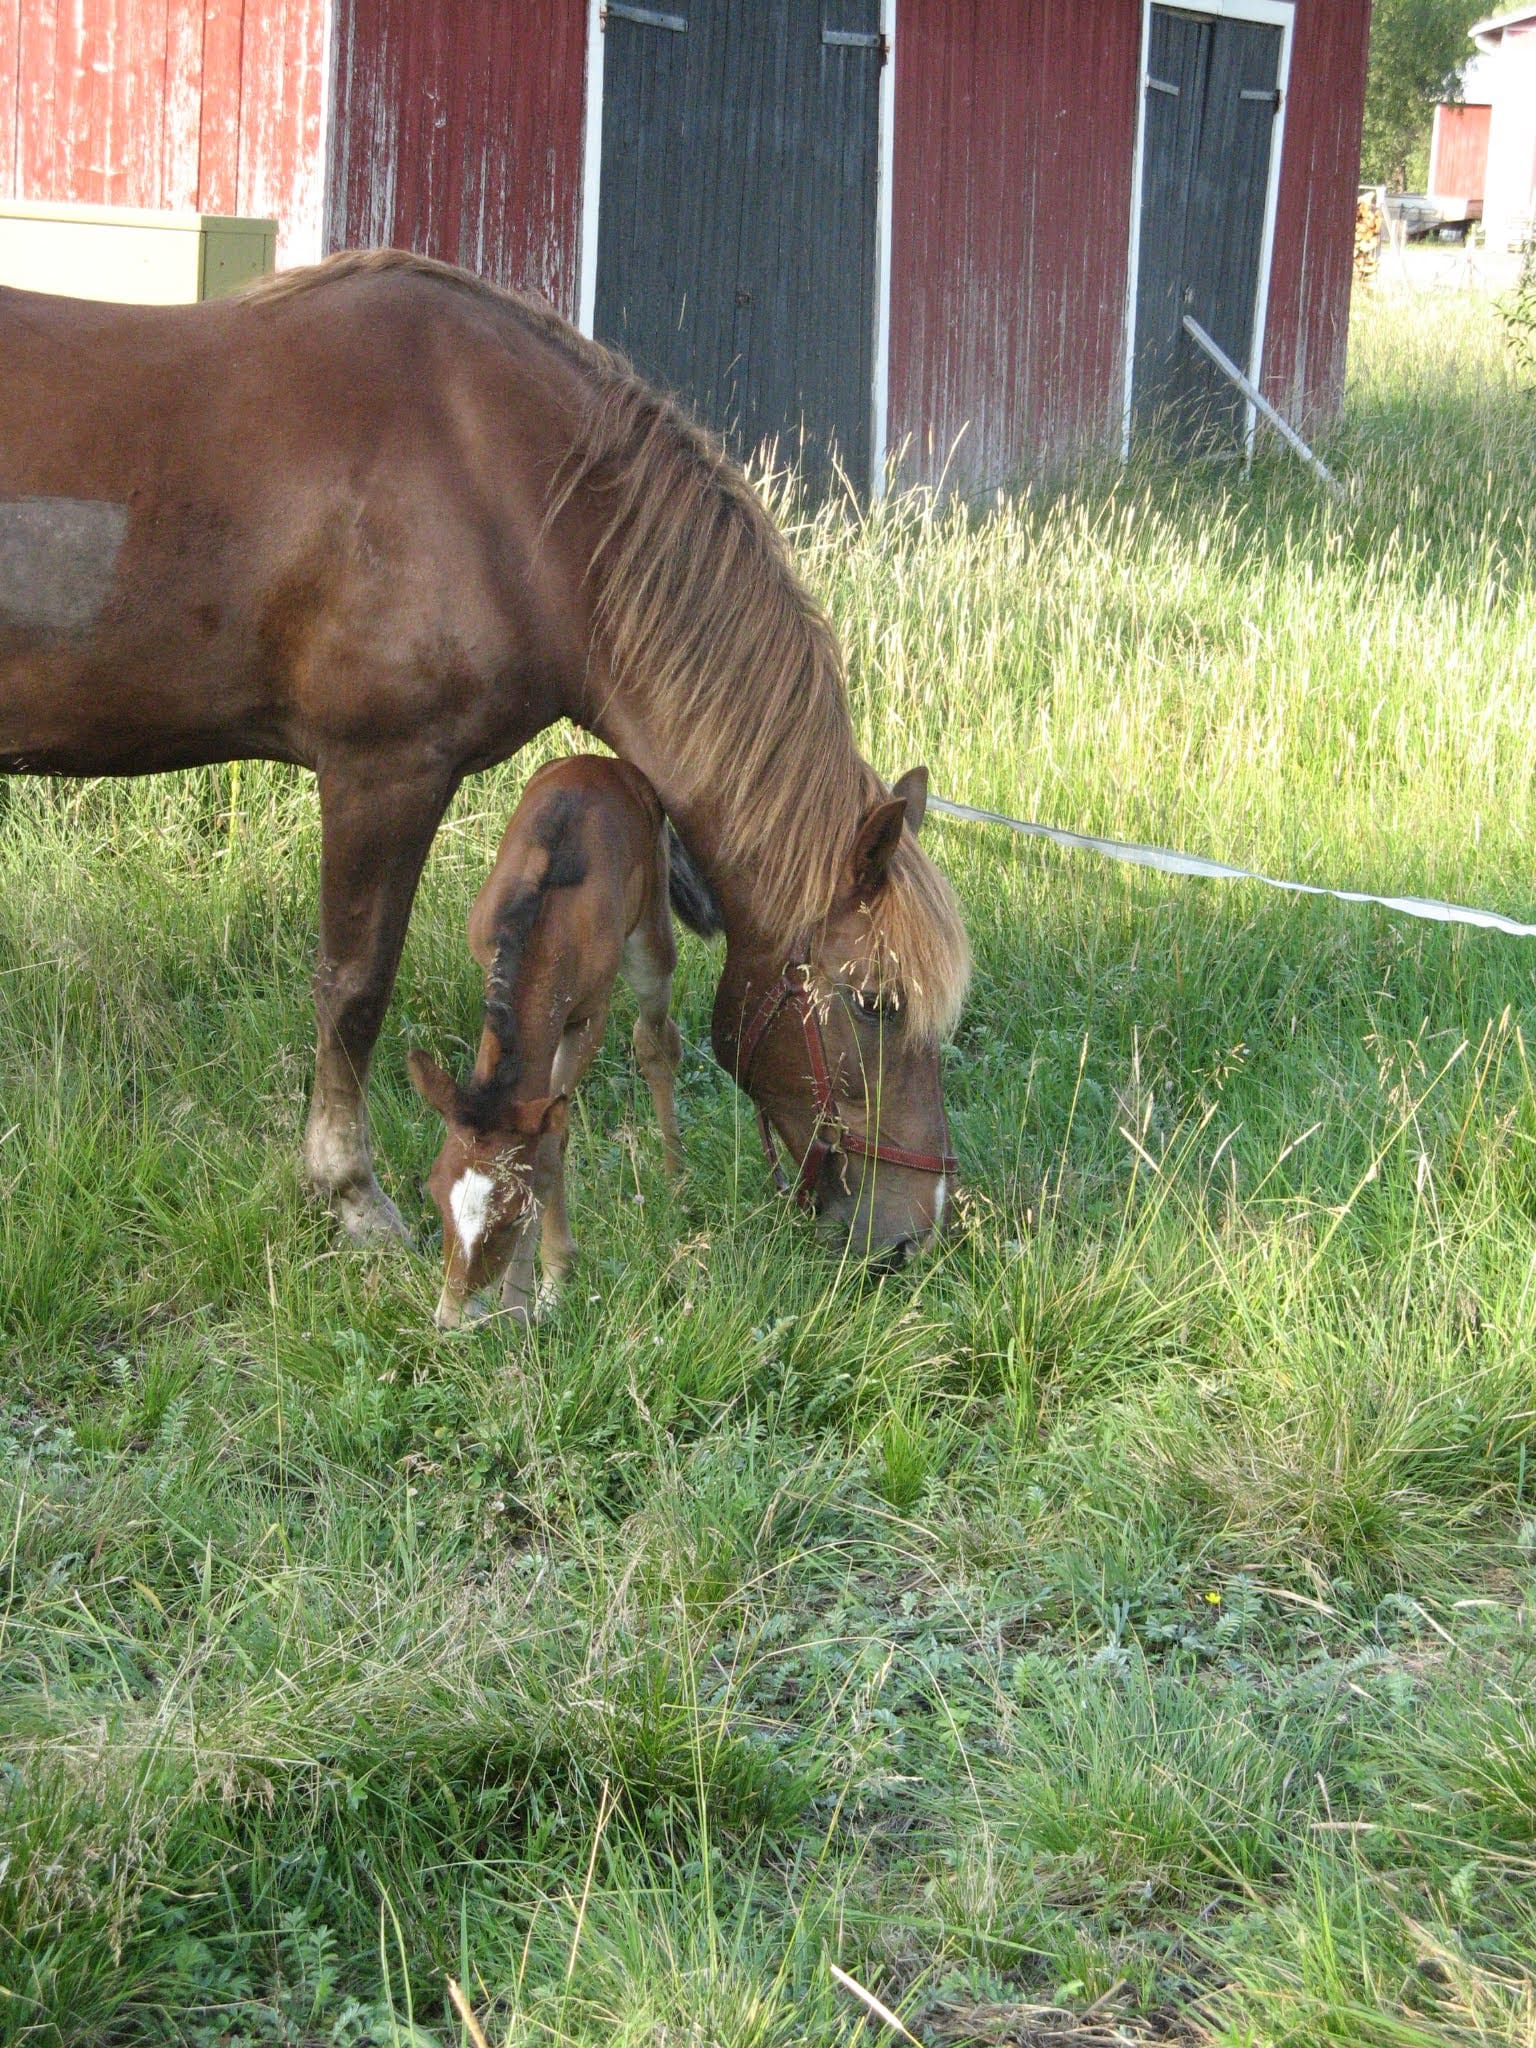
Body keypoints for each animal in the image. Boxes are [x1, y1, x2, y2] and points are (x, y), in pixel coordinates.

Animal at [0, 247, 966, 1253]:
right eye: (876, 1004)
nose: (915, 1231)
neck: (502, 483)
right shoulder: (383, 773)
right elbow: (354, 990)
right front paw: (350, 1192)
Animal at [405, 757, 684, 1327]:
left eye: (513, 1216)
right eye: (436, 1195)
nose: (451, 1318)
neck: (544, 925)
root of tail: (604, 762)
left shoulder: (587, 1018)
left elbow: (554, 1142)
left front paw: (536, 1293)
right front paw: (532, 1293)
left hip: (650, 938)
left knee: (656, 1040)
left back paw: (674, 1179)